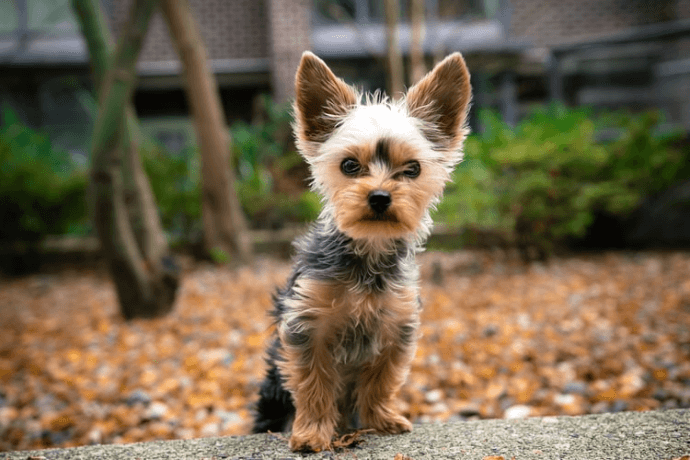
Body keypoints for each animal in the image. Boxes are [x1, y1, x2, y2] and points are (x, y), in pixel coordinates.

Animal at [253, 52, 472, 452]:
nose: (380, 196)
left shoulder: (395, 328)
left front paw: (380, 420)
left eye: (412, 169)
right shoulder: (307, 325)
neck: (368, 252)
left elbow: (380, 381)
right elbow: (313, 384)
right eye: (349, 165)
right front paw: (311, 433)